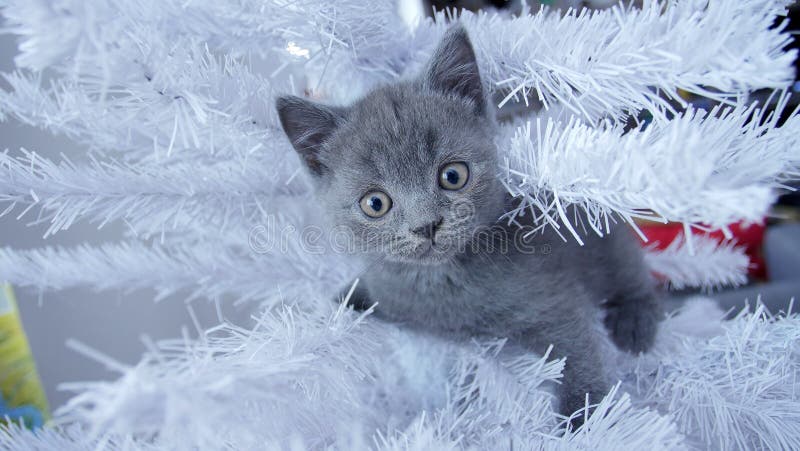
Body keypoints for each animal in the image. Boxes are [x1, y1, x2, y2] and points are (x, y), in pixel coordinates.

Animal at [278, 24, 660, 420]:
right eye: (375, 203)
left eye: (453, 175)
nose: (426, 225)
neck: (442, 284)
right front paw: (332, 308)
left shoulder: (552, 294)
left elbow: (575, 347)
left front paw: (586, 416)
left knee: (629, 270)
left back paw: (634, 325)